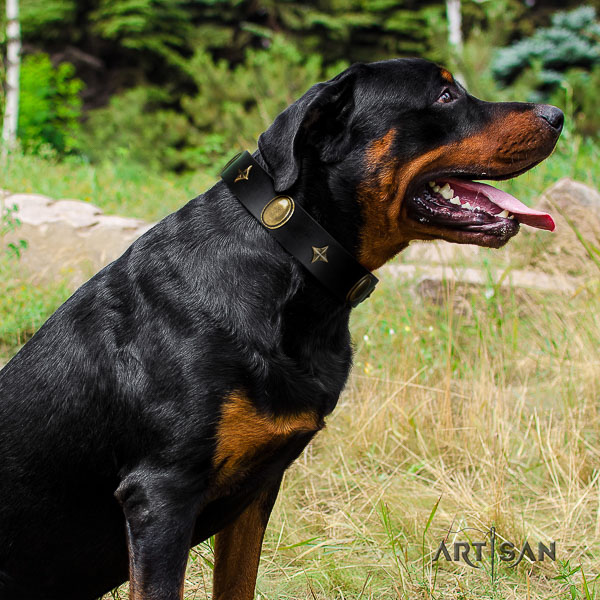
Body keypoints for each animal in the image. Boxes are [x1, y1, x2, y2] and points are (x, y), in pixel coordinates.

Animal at [0, 57, 564, 600]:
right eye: (446, 95)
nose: (557, 114)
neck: (292, 259)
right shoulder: (161, 493)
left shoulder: (257, 489)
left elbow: (238, 586)